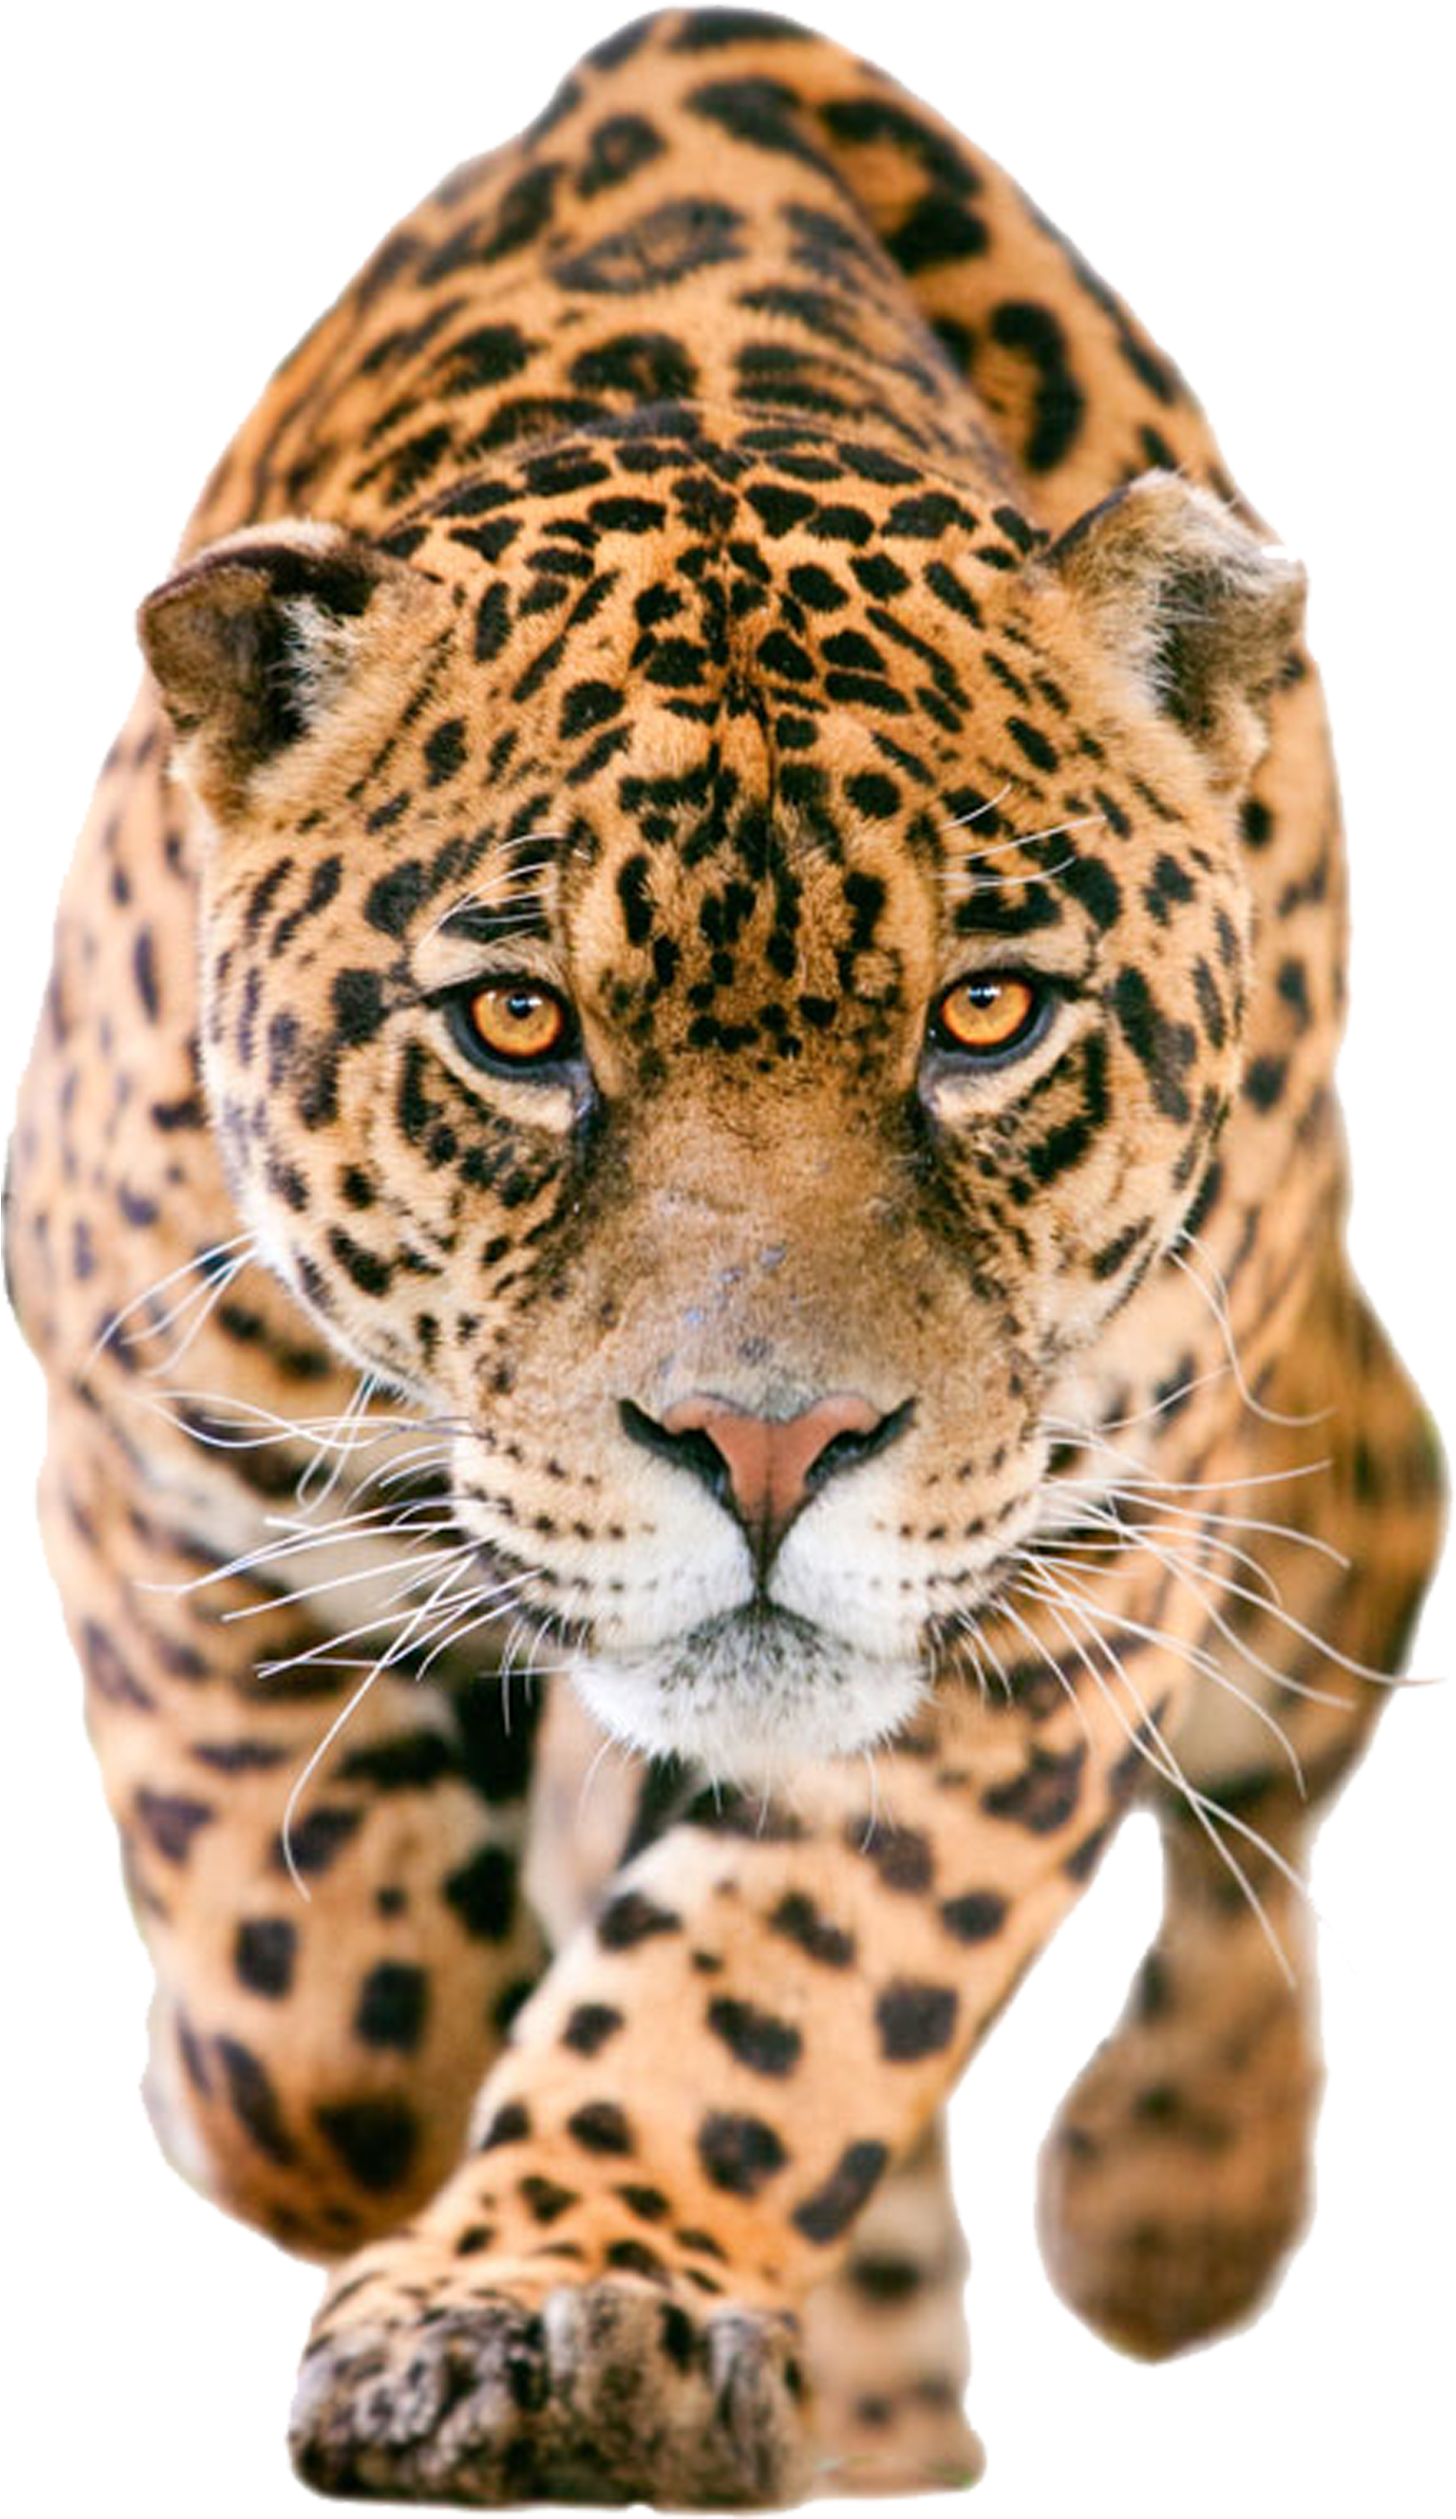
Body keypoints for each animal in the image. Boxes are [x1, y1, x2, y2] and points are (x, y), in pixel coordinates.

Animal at [7, 4, 1448, 2506]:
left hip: (1296, 1485)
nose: (766, 1450)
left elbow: (780, 1985)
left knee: (1293, 1738)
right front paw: (360, 2137)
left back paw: (1165, 2207)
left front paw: (550, 2294)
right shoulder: (145, 1444)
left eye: (986, 1015)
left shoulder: (1063, 1574)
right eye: (517, 1024)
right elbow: (316, 2010)